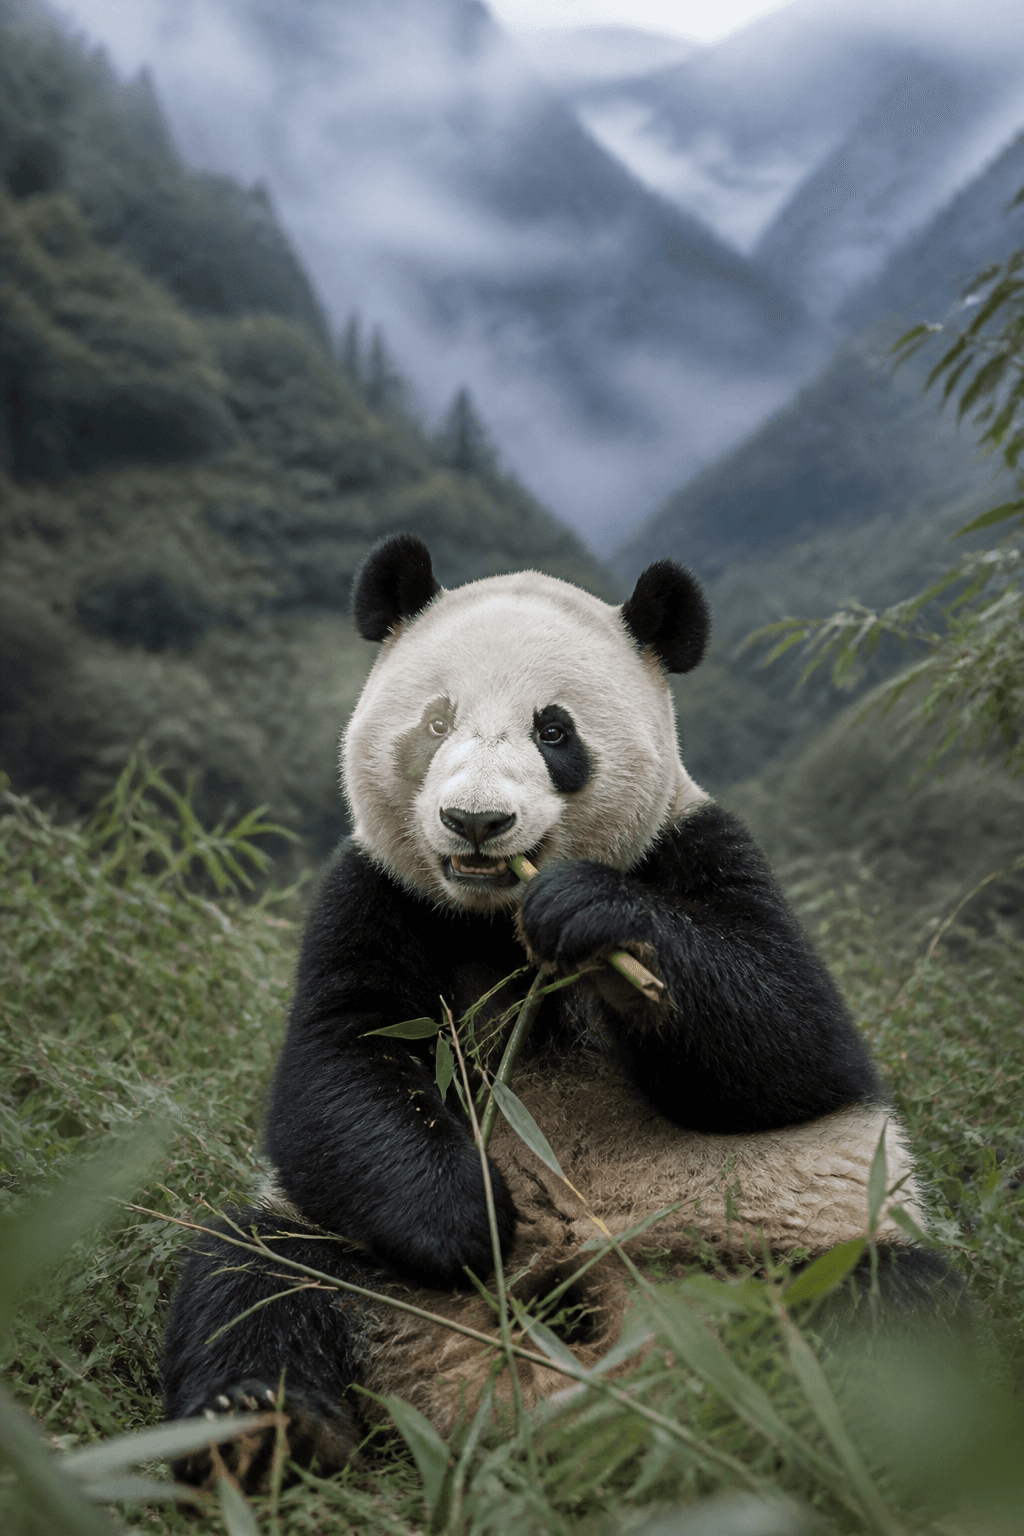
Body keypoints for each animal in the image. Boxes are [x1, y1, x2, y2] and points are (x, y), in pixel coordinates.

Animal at [163, 532, 955, 1490]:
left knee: (897, 1320)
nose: (475, 821)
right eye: (438, 722)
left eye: (554, 729)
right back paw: (264, 1432)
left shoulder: (693, 844)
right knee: (253, 1274)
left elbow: (793, 1046)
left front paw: (593, 916)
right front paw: (472, 1220)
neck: (497, 916)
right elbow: (337, 1070)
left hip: (774, 1255)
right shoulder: (376, 893)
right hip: (366, 1273)